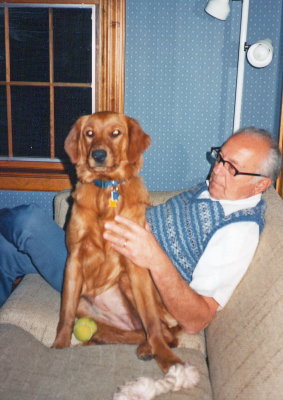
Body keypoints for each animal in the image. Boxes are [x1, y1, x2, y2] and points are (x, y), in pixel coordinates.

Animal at [52, 110, 184, 372]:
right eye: (89, 133)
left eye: (115, 133)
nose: (98, 155)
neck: (106, 189)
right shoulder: (74, 259)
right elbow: (65, 314)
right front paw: (59, 346)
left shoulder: (135, 261)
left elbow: (152, 323)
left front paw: (167, 358)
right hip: (85, 300)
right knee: (132, 332)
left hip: (129, 284)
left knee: (163, 330)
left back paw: (149, 348)